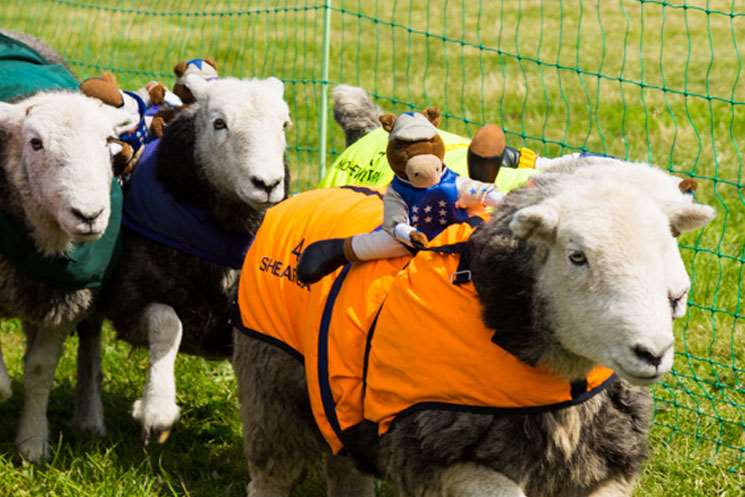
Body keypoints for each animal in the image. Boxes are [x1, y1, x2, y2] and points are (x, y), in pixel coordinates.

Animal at [0, 90, 130, 462]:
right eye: (35, 143)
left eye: (108, 141)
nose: (88, 215)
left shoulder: (64, 300)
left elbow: (40, 370)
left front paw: (32, 444)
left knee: (90, 348)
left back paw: (89, 420)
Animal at [99, 74, 294, 442]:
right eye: (219, 123)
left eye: (284, 124)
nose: (268, 184)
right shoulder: (126, 302)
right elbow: (167, 323)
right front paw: (157, 409)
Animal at [230, 157, 712, 494]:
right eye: (577, 256)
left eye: (669, 243)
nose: (652, 352)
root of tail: (300, 197)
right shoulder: (446, 453)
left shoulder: (605, 464)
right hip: (270, 386)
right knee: (272, 474)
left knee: (344, 468)